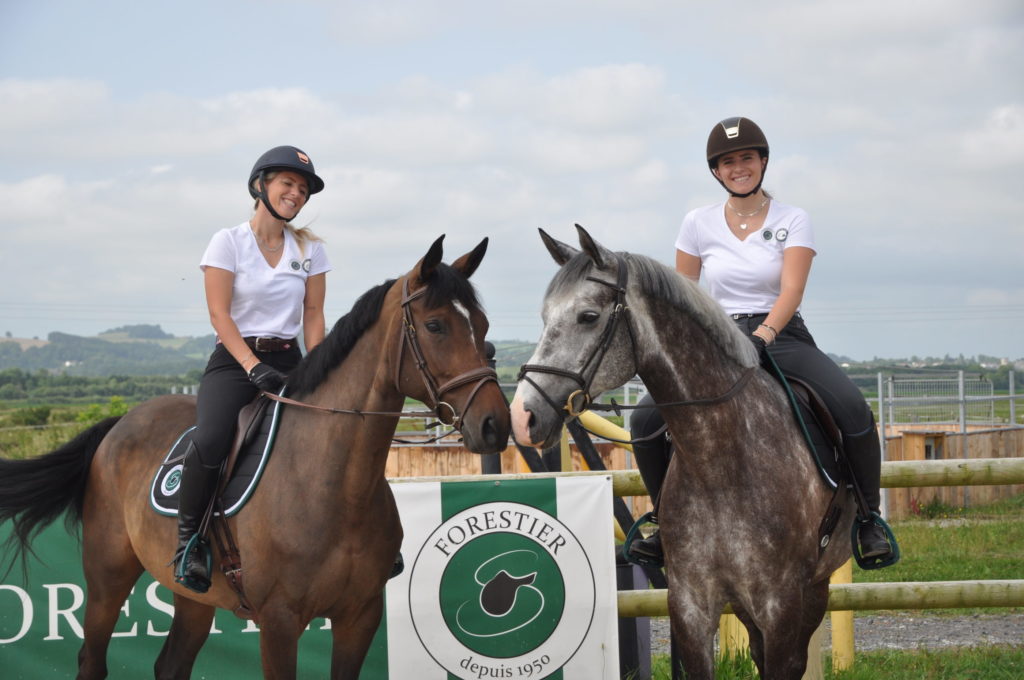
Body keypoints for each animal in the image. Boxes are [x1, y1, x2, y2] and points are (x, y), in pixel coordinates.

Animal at [0, 235, 512, 680]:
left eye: (484, 327)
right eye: (435, 325)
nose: (495, 425)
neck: (332, 484)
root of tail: (120, 424)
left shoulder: (359, 617)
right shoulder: (280, 622)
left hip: (194, 597)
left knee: (171, 664)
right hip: (108, 576)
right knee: (92, 658)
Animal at [512, 227, 856, 680]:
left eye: (587, 316)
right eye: (545, 316)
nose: (523, 416)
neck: (721, 463)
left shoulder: (781, 606)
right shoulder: (691, 605)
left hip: (814, 589)